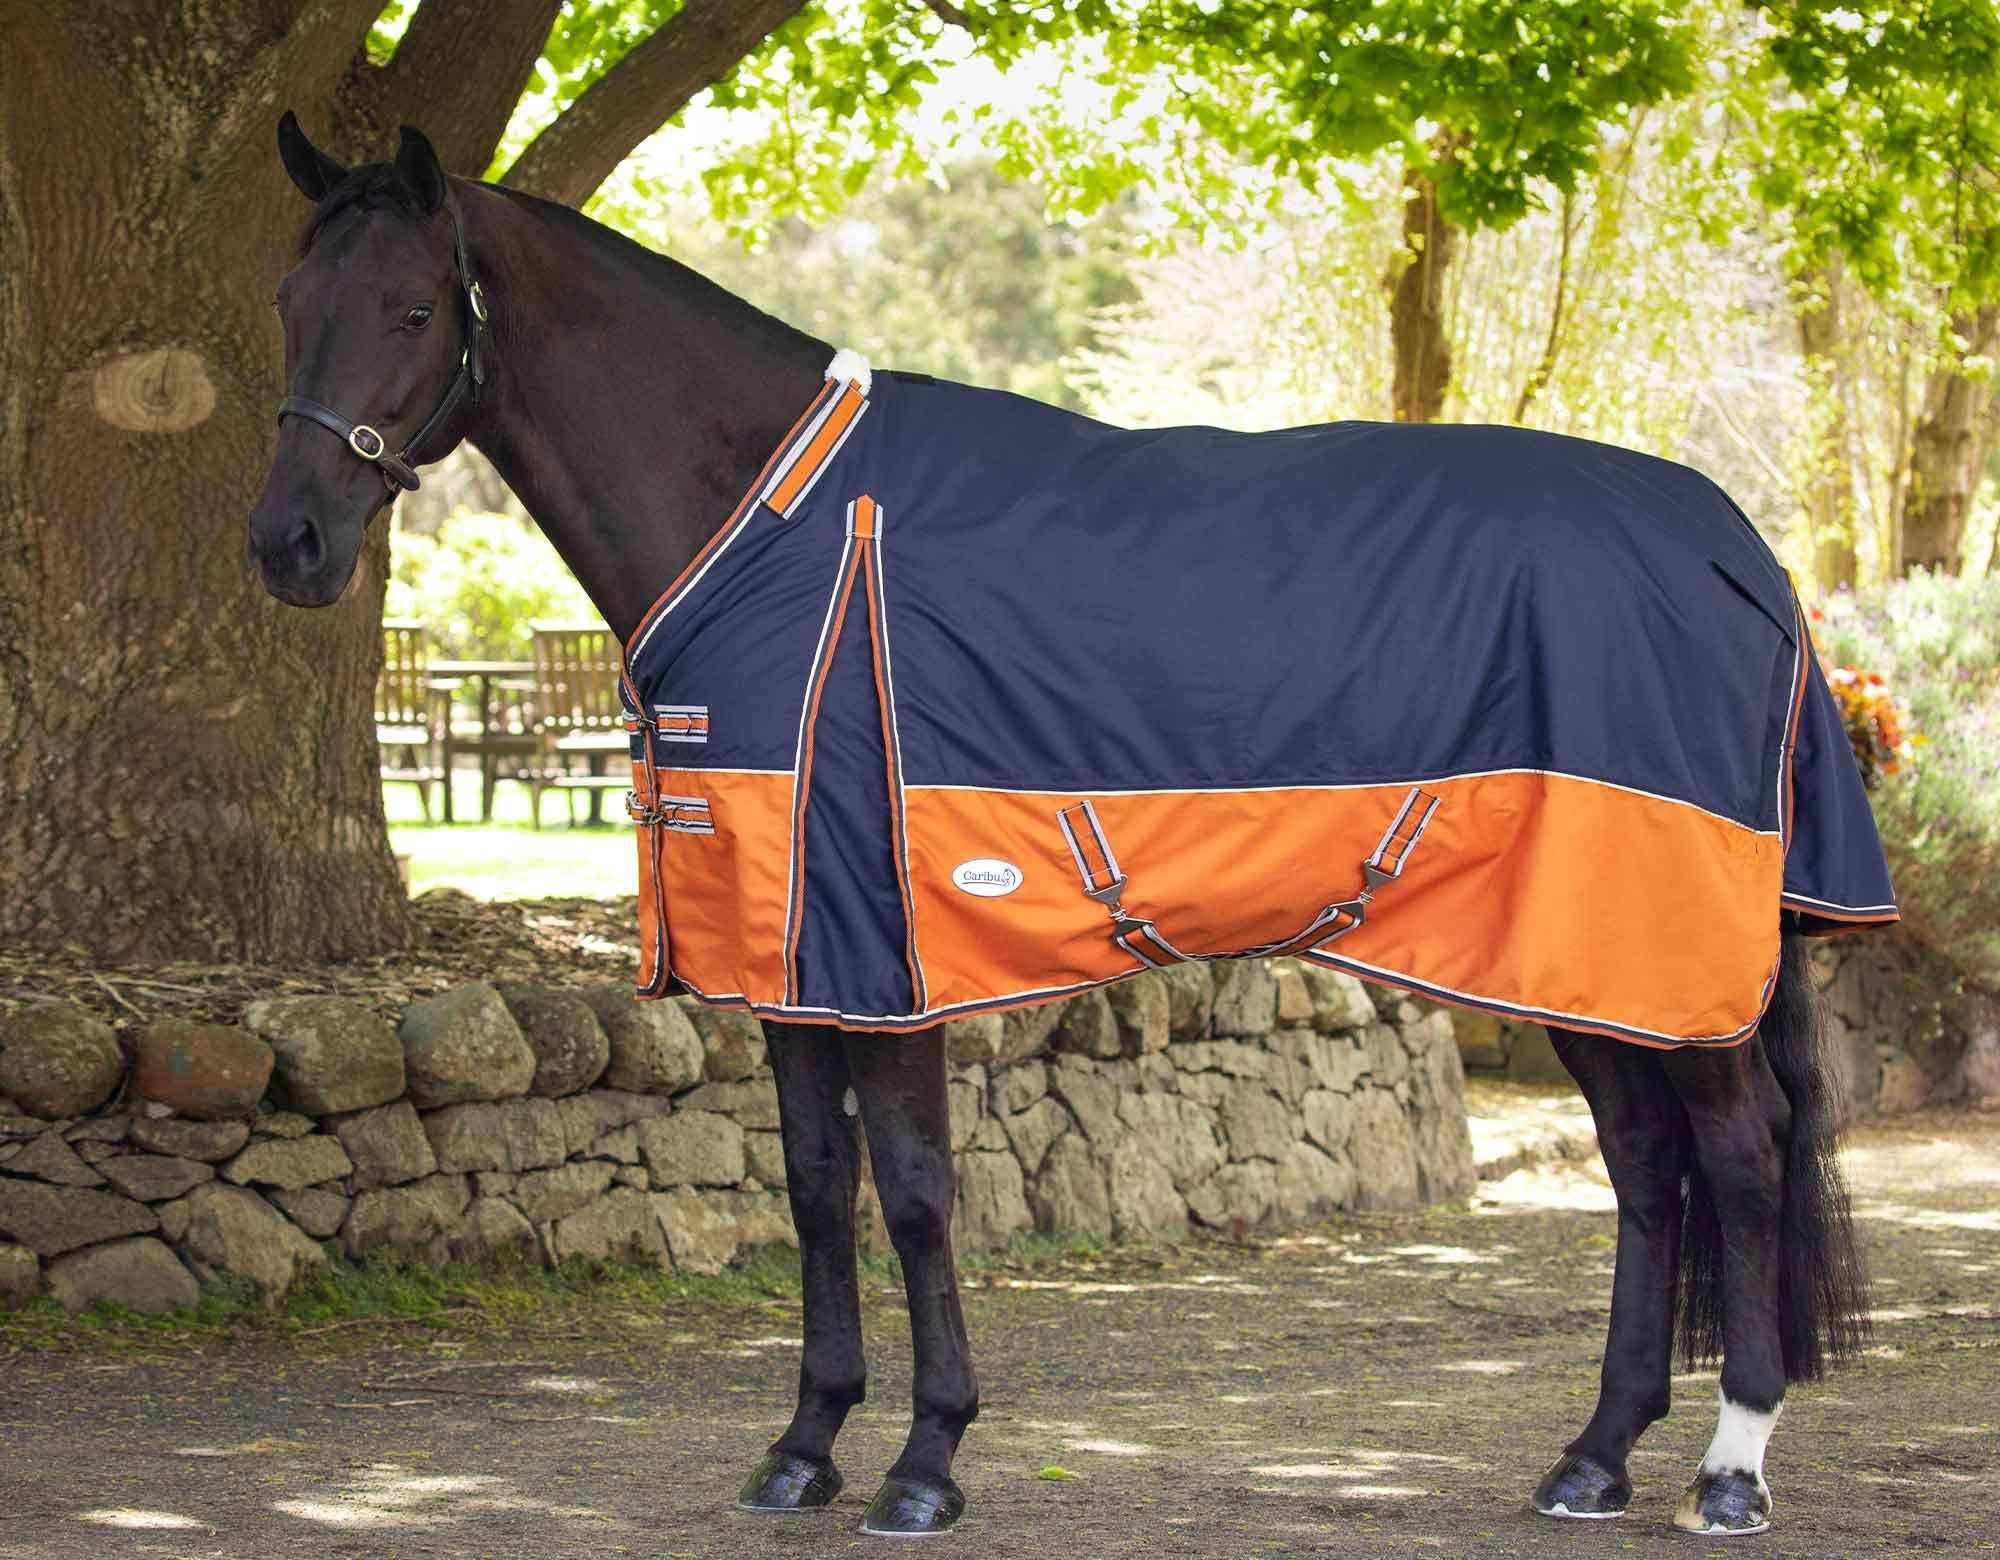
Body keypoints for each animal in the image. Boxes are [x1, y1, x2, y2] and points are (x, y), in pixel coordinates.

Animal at [248, 117, 1879, 1540]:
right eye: (289, 303)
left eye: (410, 308)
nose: (288, 545)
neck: (781, 528)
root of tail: (1731, 546)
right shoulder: (786, 968)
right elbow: (814, 1190)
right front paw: (803, 1448)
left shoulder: (881, 962)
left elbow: (915, 1197)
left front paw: (925, 1464)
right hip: (1577, 961)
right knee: (1647, 1167)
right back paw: (1593, 1458)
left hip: (1664, 952)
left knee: (1739, 1156)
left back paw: (1729, 1470)